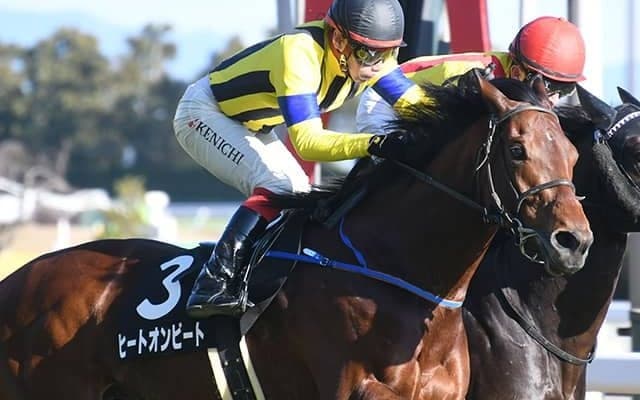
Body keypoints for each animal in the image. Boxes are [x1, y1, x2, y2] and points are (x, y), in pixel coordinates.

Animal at [0, 75, 593, 400]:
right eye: (516, 149)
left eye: (572, 153)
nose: (574, 241)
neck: (396, 273)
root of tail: (16, 282)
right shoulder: (354, 389)